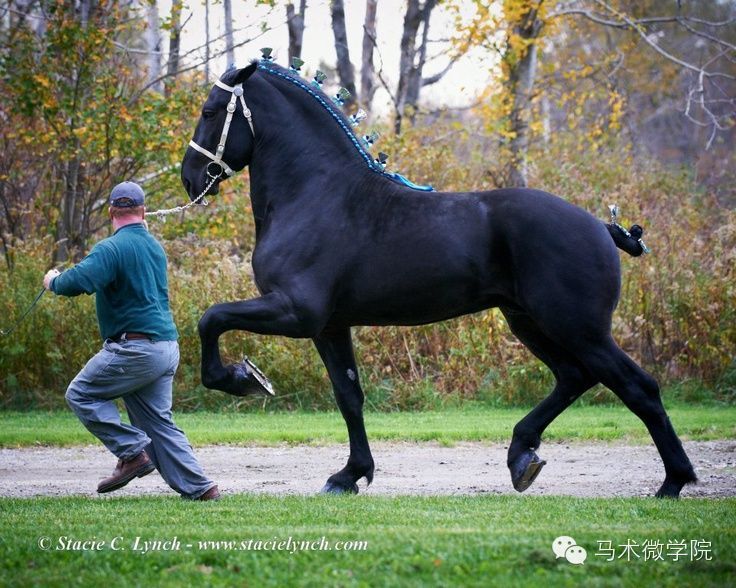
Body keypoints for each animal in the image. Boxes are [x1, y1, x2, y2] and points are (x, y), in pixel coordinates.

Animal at [178, 62, 696, 498]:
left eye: (209, 111)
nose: (190, 177)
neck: (316, 195)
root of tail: (601, 227)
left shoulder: (295, 311)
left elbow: (211, 319)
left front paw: (240, 379)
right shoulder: (329, 327)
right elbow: (349, 396)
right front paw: (350, 475)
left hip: (577, 328)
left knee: (637, 387)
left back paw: (673, 482)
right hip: (530, 323)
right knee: (574, 376)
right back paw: (522, 456)